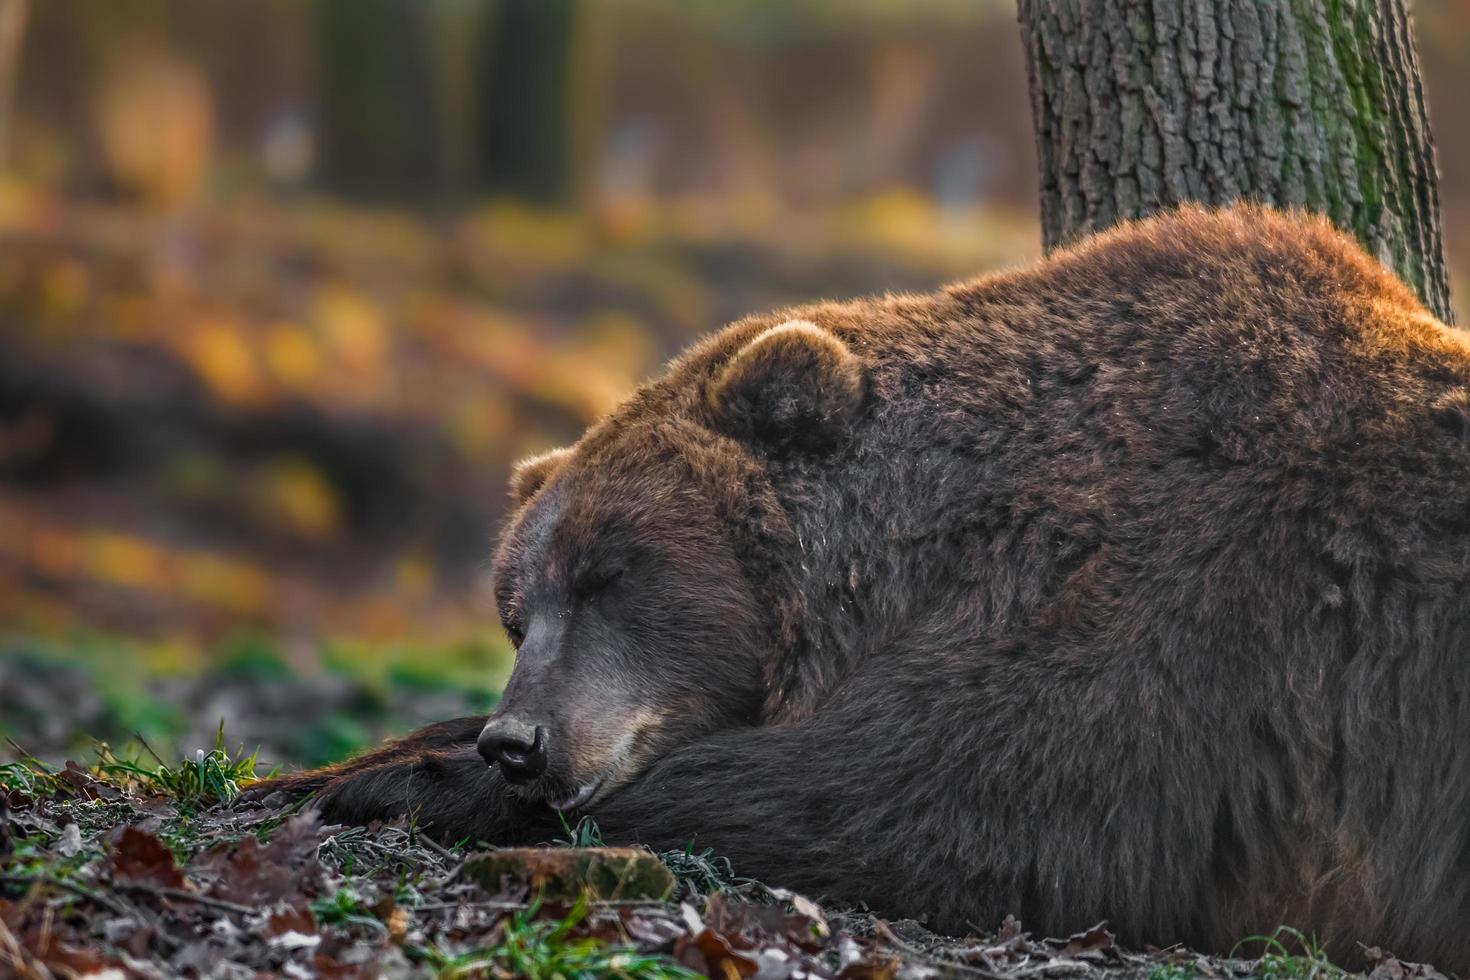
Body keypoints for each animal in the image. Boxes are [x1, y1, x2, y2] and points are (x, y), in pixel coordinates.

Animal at [241, 207, 1470, 975]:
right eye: (516, 610)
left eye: (608, 573)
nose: (519, 741)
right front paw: (333, 765)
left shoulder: (1155, 622)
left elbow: (907, 802)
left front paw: (394, 783)